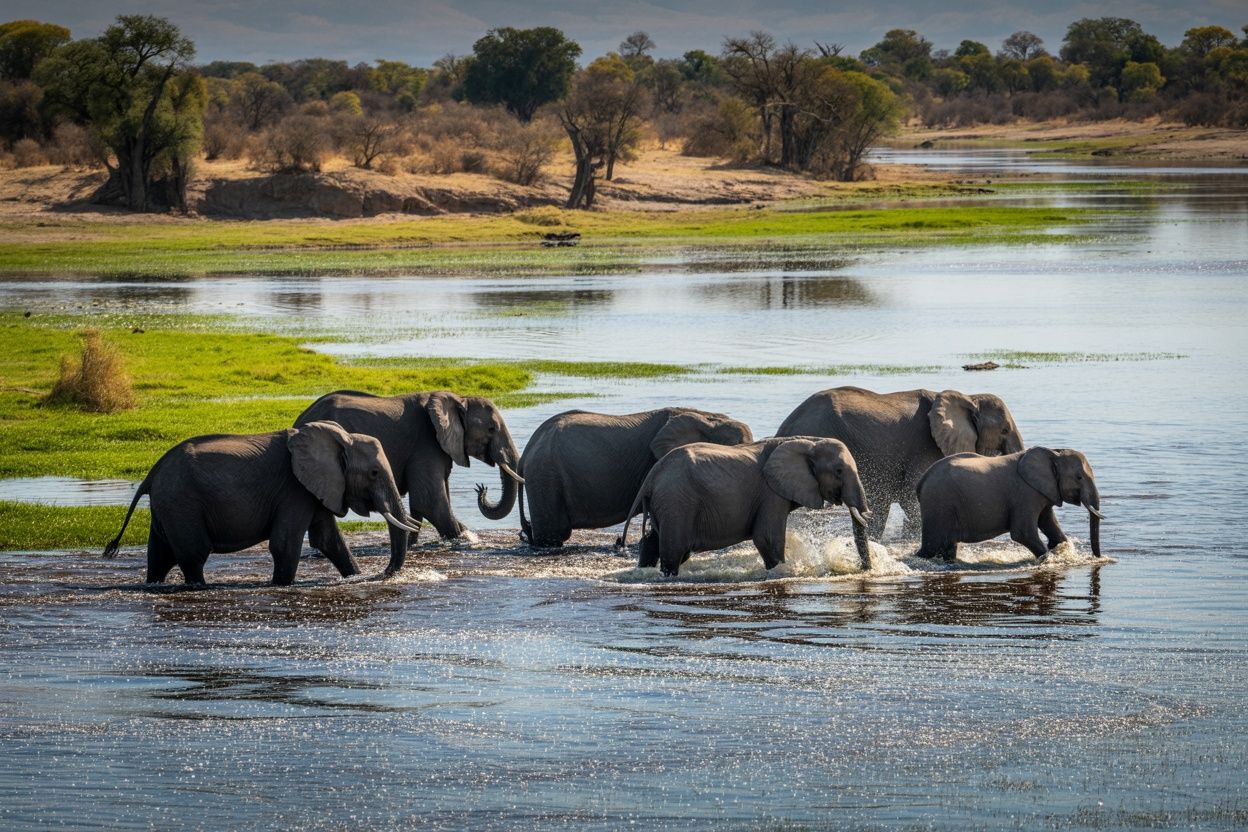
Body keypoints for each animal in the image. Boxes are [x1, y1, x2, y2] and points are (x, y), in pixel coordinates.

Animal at [101, 421, 422, 585]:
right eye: (374, 473)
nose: (383, 574)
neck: (341, 439)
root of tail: (151, 474)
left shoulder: (315, 487)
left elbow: (328, 539)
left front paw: (353, 577)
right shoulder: (293, 489)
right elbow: (285, 544)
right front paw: (280, 587)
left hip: (168, 505)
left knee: (160, 556)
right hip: (182, 502)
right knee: (193, 555)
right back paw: (201, 587)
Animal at [295, 390, 523, 574]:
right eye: (491, 429)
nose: (481, 489)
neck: (459, 398)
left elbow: (426, 506)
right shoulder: (427, 443)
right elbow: (431, 504)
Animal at [617, 437, 872, 577]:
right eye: (839, 471)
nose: (865, 570)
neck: (808, 442)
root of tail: (651, 477)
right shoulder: (770, 493)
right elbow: (766, 537)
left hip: (666, 503)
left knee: (651, 542)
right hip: (677, 501)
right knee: (674, 551)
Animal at [914, 447, 1104, 562]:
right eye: (1079, 477)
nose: (1098, 559)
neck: (1053, 452)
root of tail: (921, 482)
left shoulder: (1043, 492)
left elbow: (1050, 524)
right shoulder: (1025, 494)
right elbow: (1022, 533)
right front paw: (1048, 559)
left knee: (947, 546)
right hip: (938, 503)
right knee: (931, 547)